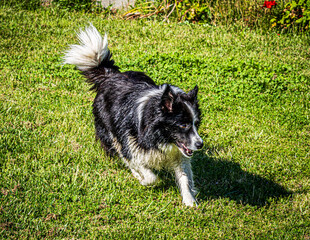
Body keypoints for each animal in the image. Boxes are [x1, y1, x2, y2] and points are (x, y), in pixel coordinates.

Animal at [63, 24, 203, 206]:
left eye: (196, 124)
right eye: (183, 125)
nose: (200, 144)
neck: (157, 134)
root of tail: (110, 75)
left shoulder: (178, 153)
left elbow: (185, 177)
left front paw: (190, 202)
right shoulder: (130, 143)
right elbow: (148, 174)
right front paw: (142, 179)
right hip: (109, 131)